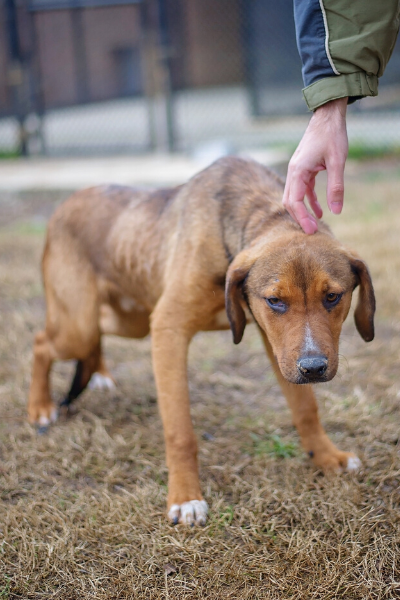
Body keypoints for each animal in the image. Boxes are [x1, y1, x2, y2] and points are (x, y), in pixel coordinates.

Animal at [28, 158, 376, 524]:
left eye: (333, 296)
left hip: (127, 320)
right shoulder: (168, 329)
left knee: (96, 331)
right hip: (78, 326)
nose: (313, 368)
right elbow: (180, 432)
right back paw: (41, 407)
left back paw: (99, 374)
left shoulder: (279, 348)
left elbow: (306, 407)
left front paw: (325, 456)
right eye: (275, 301)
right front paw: (185, 497)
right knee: (42, 342)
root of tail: (66, 202)